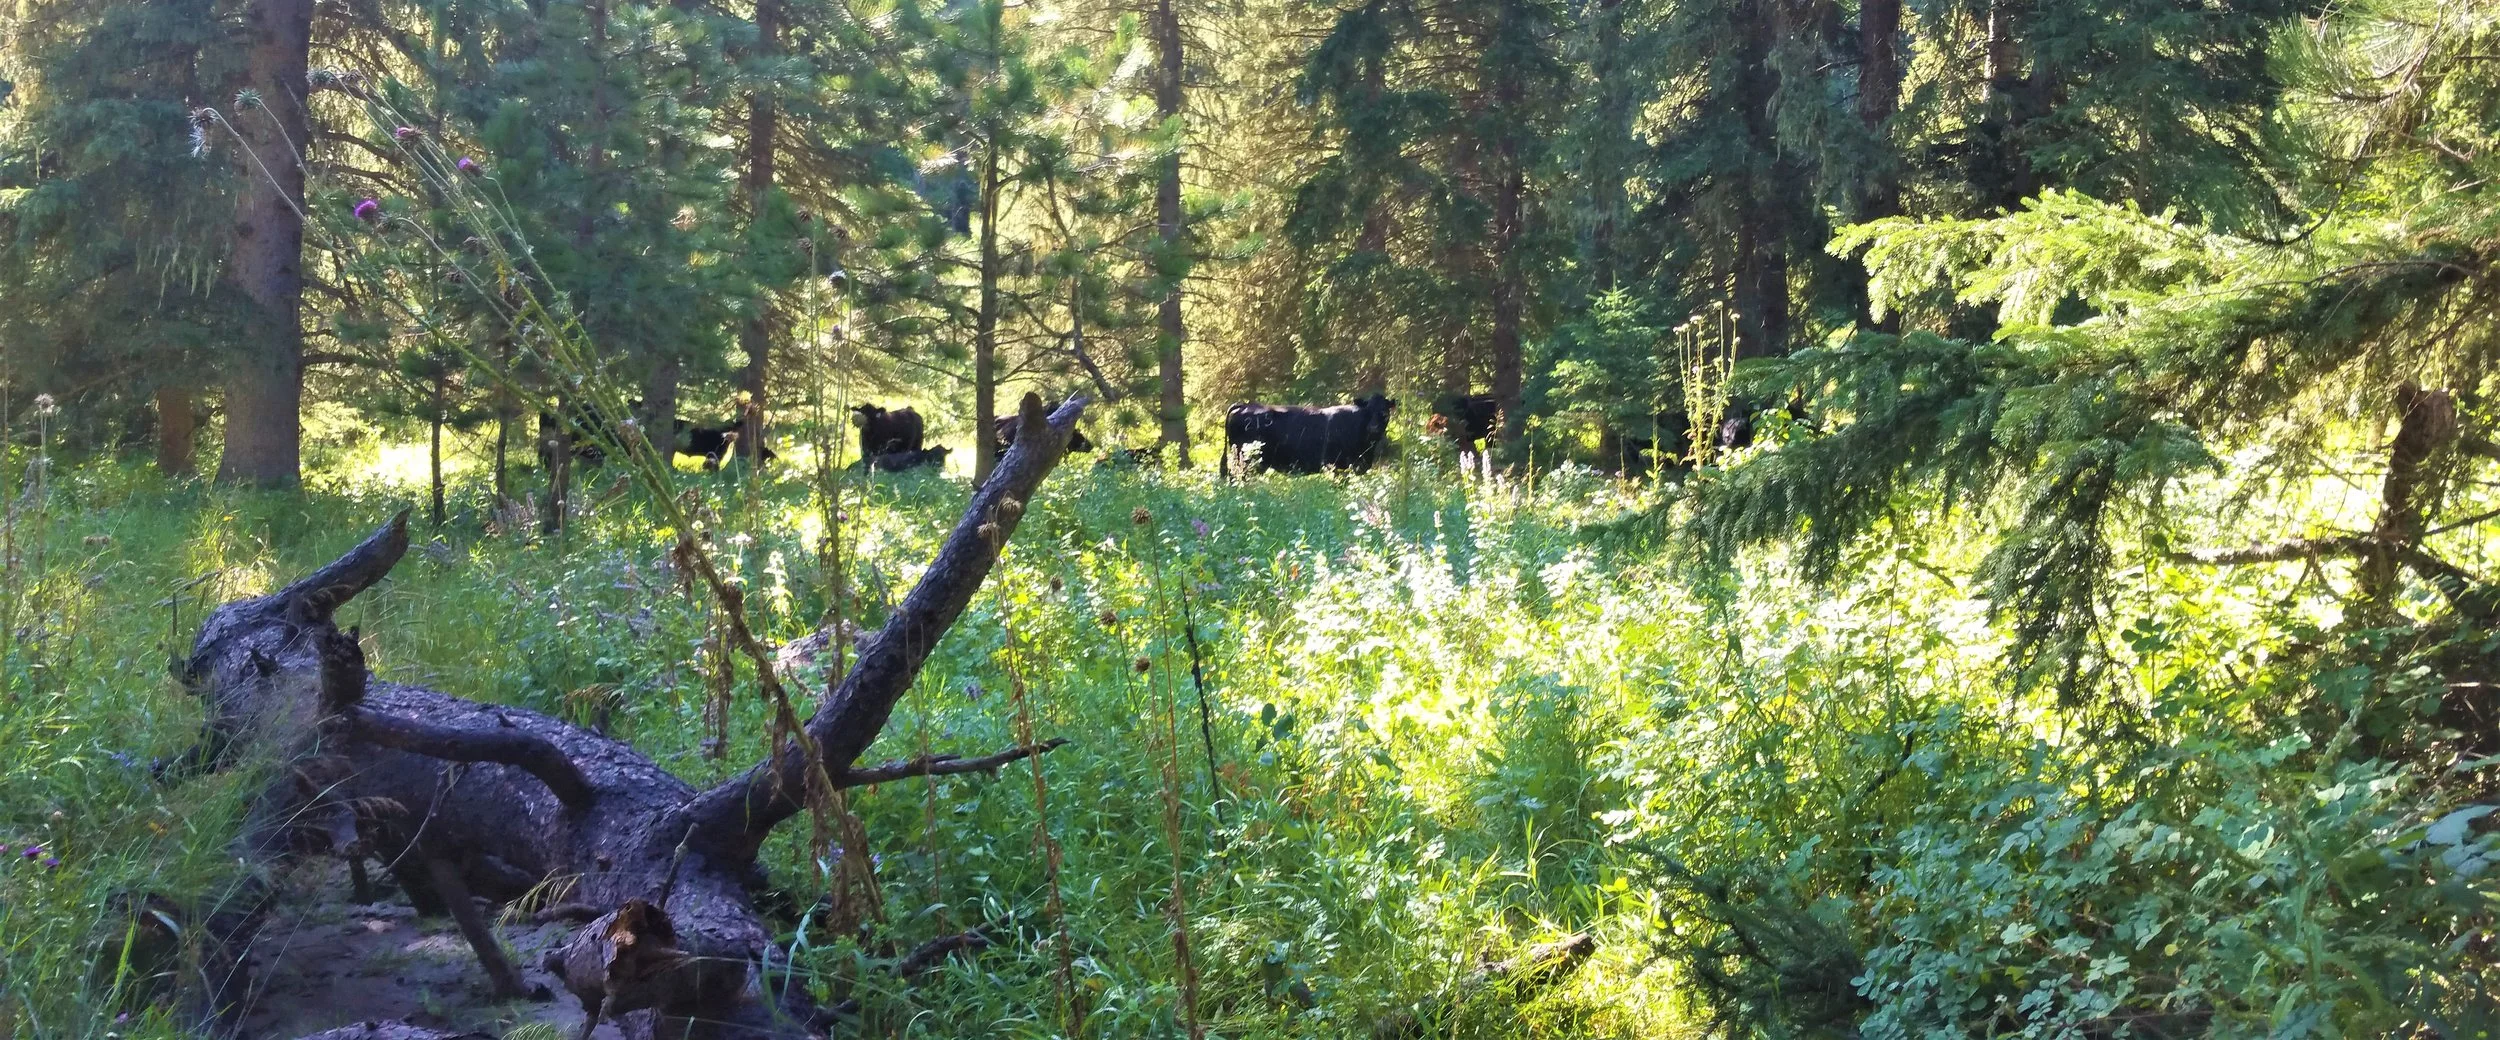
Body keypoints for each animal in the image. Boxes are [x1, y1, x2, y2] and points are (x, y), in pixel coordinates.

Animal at [1221, 393, 1397, 476]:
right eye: (1368, 411)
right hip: (1245, 461)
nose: (1373, 428)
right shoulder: (1335, 465)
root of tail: (1245, 405)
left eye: (1384, 411)